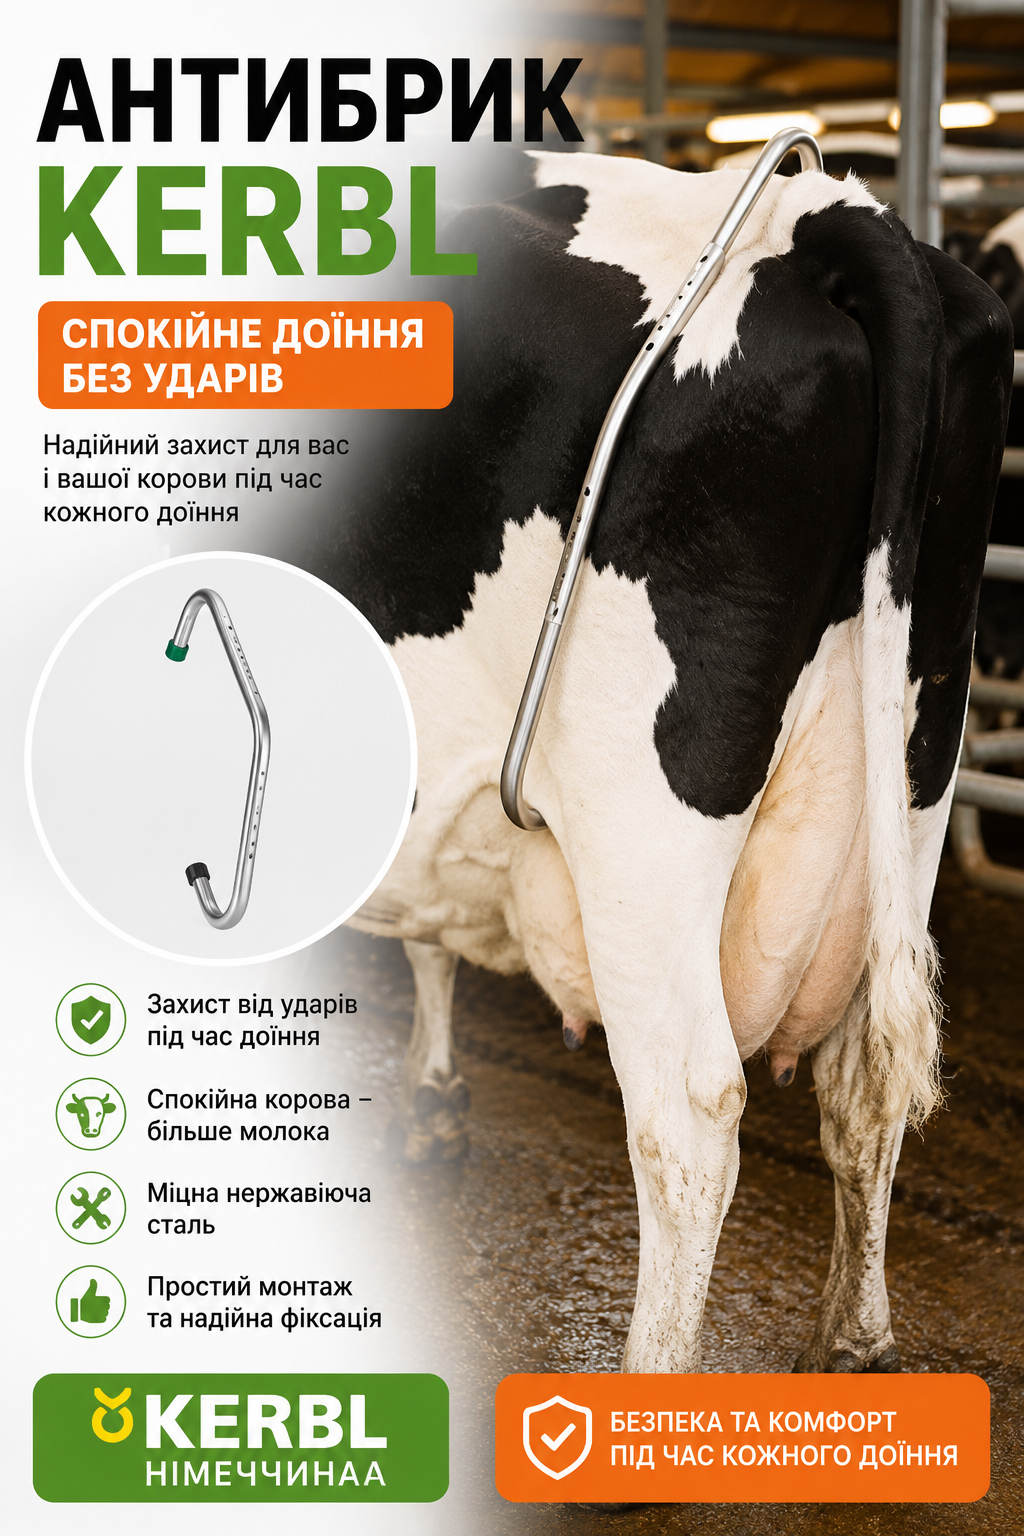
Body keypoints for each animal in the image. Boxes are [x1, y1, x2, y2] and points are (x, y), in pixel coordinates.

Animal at [309, 151, 1012, 1374]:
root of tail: (828, 215)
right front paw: (433, 1089)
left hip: (643, 813)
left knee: (689, 1114)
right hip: (917, 767)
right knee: (866, 1081)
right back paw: (854, 1338)